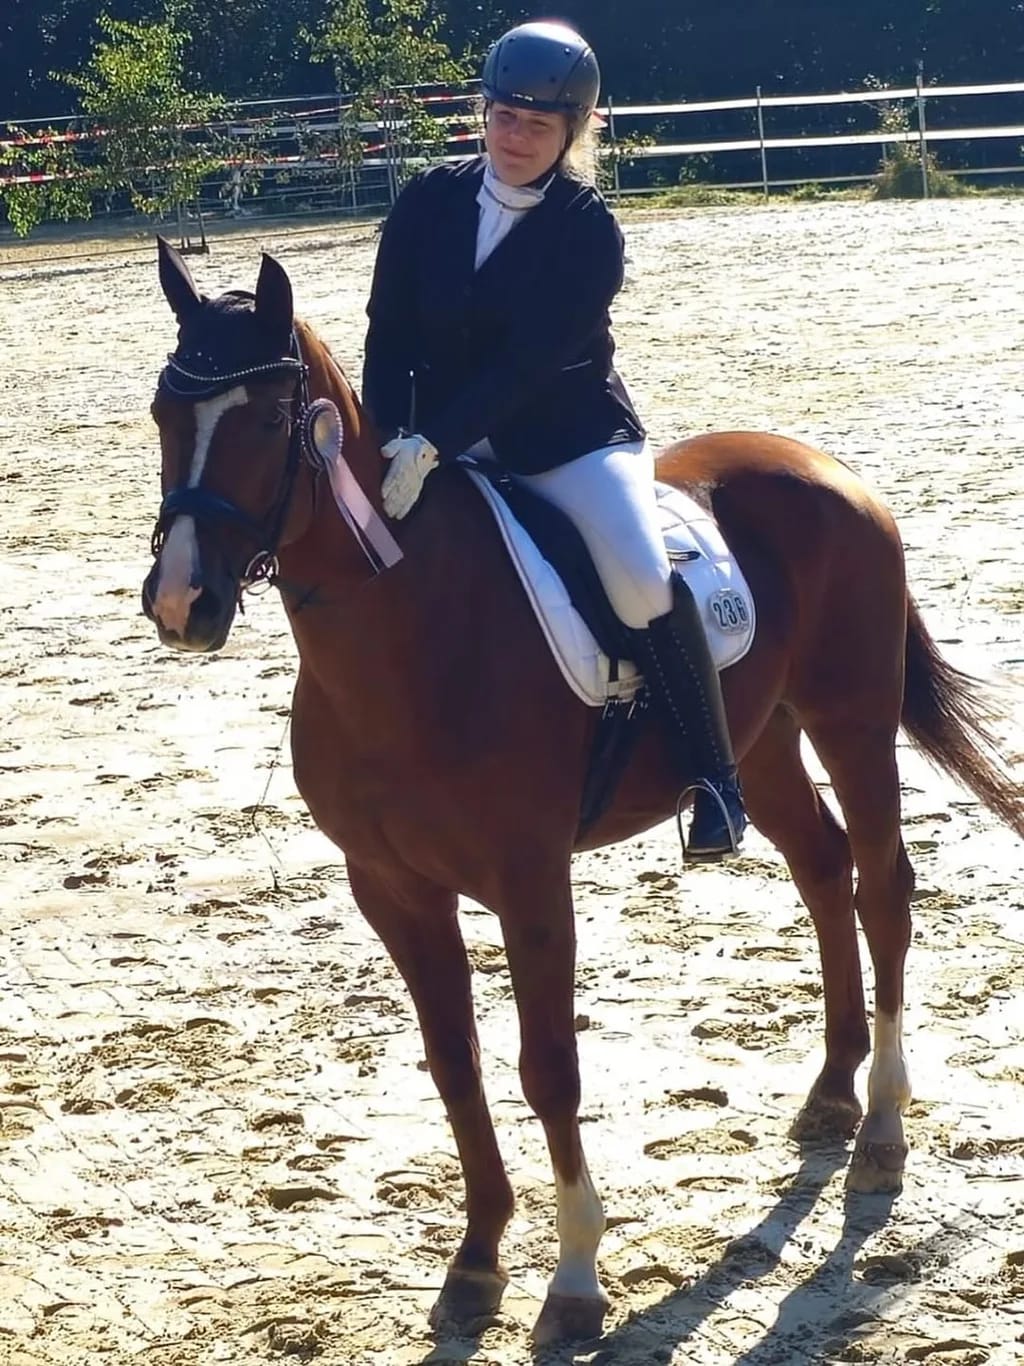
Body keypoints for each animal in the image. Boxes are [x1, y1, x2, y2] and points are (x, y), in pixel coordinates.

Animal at [141, 239, 1023, 1346]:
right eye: (163, 415)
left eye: (265, 421)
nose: (182, 605)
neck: (410, 631)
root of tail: (828, 470)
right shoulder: (389, 886)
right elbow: (455, 1063)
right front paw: (477, 1261)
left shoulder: (529, 880)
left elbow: (547, 1065)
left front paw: (572, 1281)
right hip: (761, 743)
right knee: (824, 873)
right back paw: (830, 1092)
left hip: (851, 721)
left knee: (883, 891)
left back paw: (879, 1134)